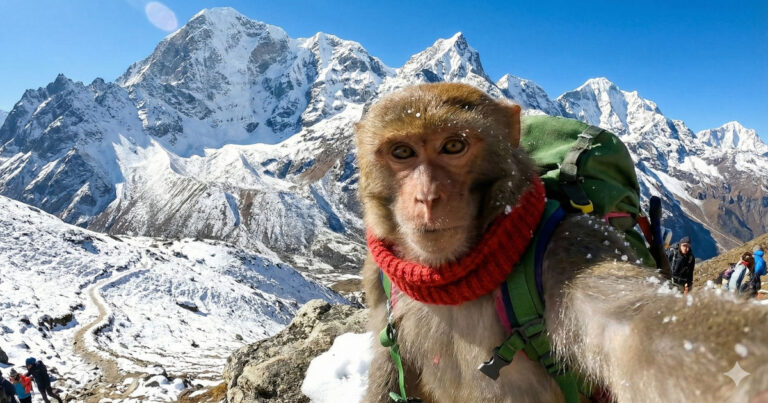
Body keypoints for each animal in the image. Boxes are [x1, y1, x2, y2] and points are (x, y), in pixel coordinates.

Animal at [353, 82, 768, 403]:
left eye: (453, 146)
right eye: (402, 152)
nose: (426, 197)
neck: (455, 280)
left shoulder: (570, 248)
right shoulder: (375, 280)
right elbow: (386, 368)